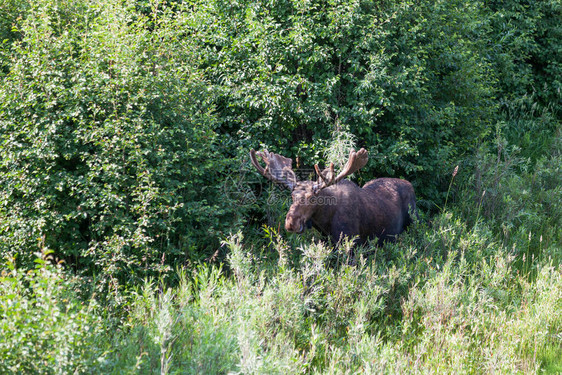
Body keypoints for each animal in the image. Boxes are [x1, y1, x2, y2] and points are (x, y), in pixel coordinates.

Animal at [249, 147, 416, 247]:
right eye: (292, 195)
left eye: (312, 197)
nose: (291, 223)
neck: (324, 220)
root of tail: (410, 184)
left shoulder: (350, 241)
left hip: (413, 222)